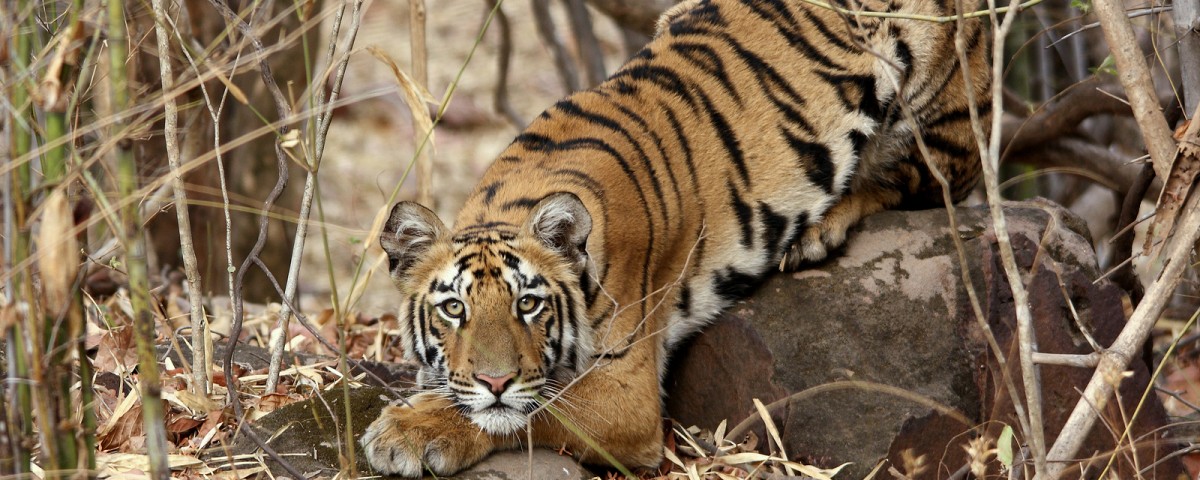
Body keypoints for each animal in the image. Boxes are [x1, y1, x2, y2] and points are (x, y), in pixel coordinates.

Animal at [360, 0, 988, 475]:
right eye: (453, 308)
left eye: (529, 304)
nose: (495, 379)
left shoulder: (625, 393)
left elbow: (533, 409)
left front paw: (410, 432)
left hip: (940, 112)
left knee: (919, 183)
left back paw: (817, 231)